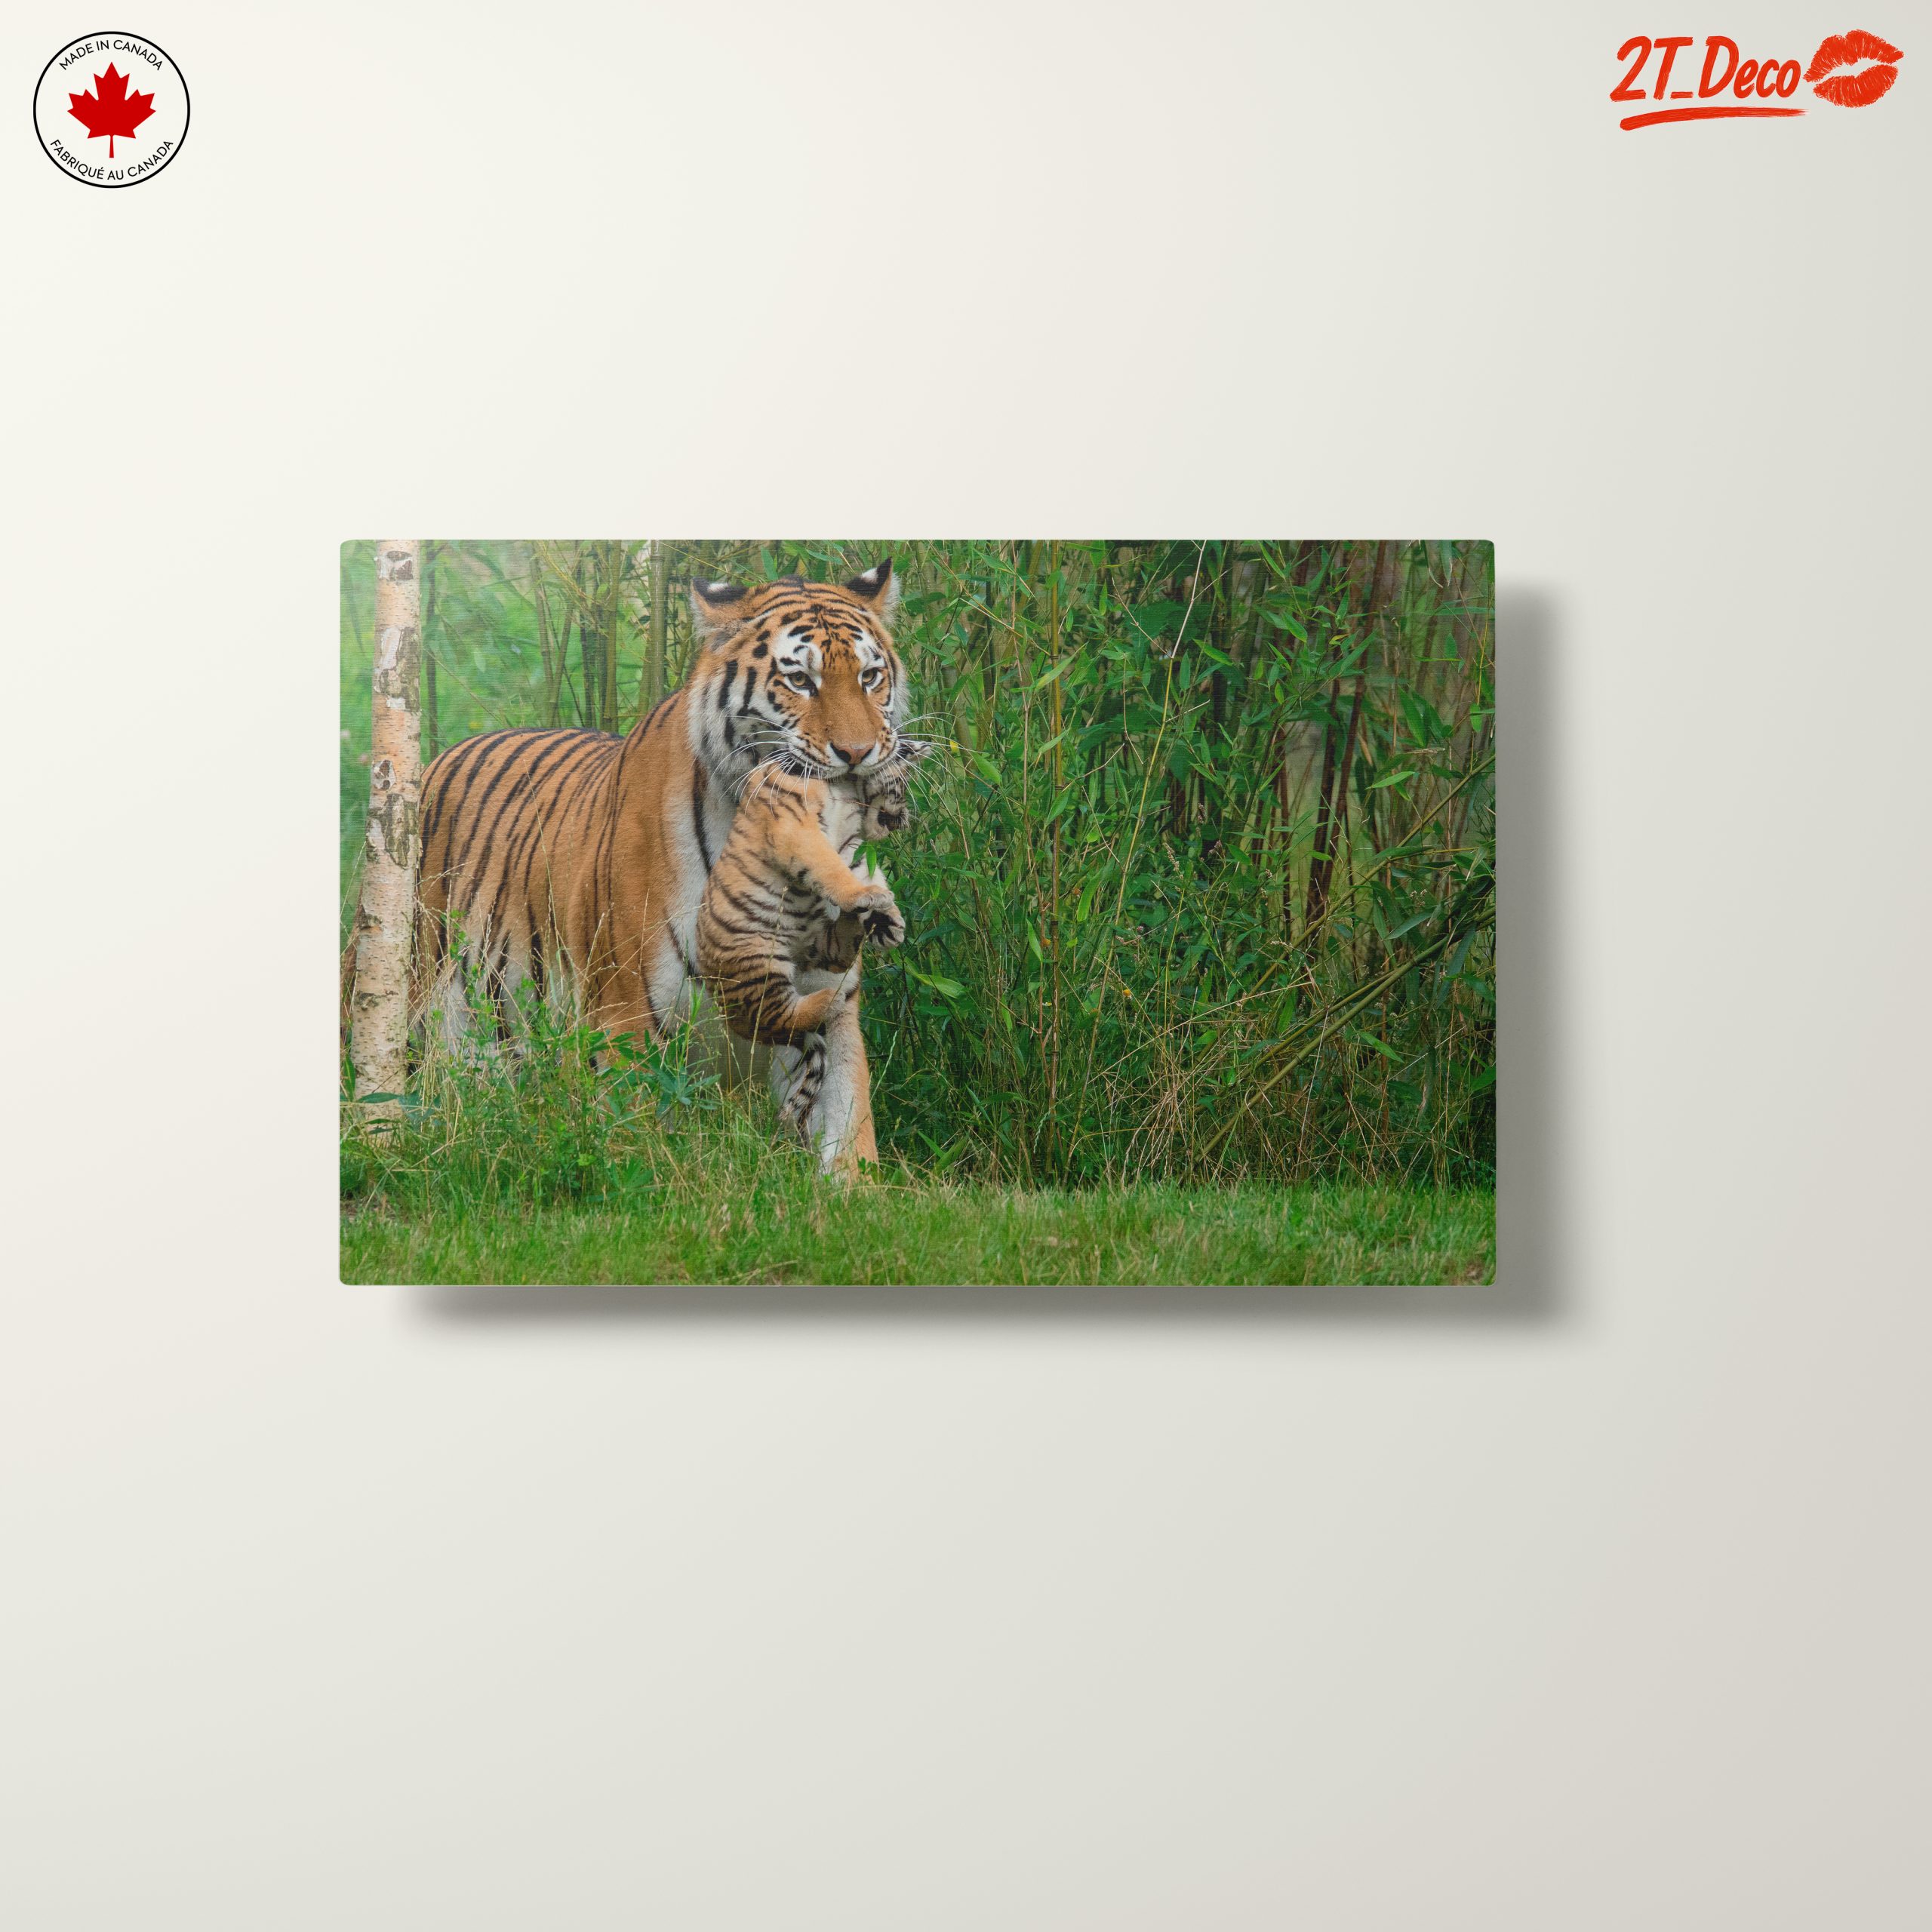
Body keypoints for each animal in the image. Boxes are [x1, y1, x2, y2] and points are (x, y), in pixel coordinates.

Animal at [696, 745, 926, 1132]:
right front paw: (873, 900)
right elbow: (830, 869)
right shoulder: (796, 827)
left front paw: (890, 919)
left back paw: (857, 928)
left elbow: (863, 872)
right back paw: (833, 998)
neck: (847, 788)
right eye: (903, 784)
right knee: (784, 1014)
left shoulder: (851, 845)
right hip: (759, 964)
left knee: (836, 954)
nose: (906, 821)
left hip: (812, 945)